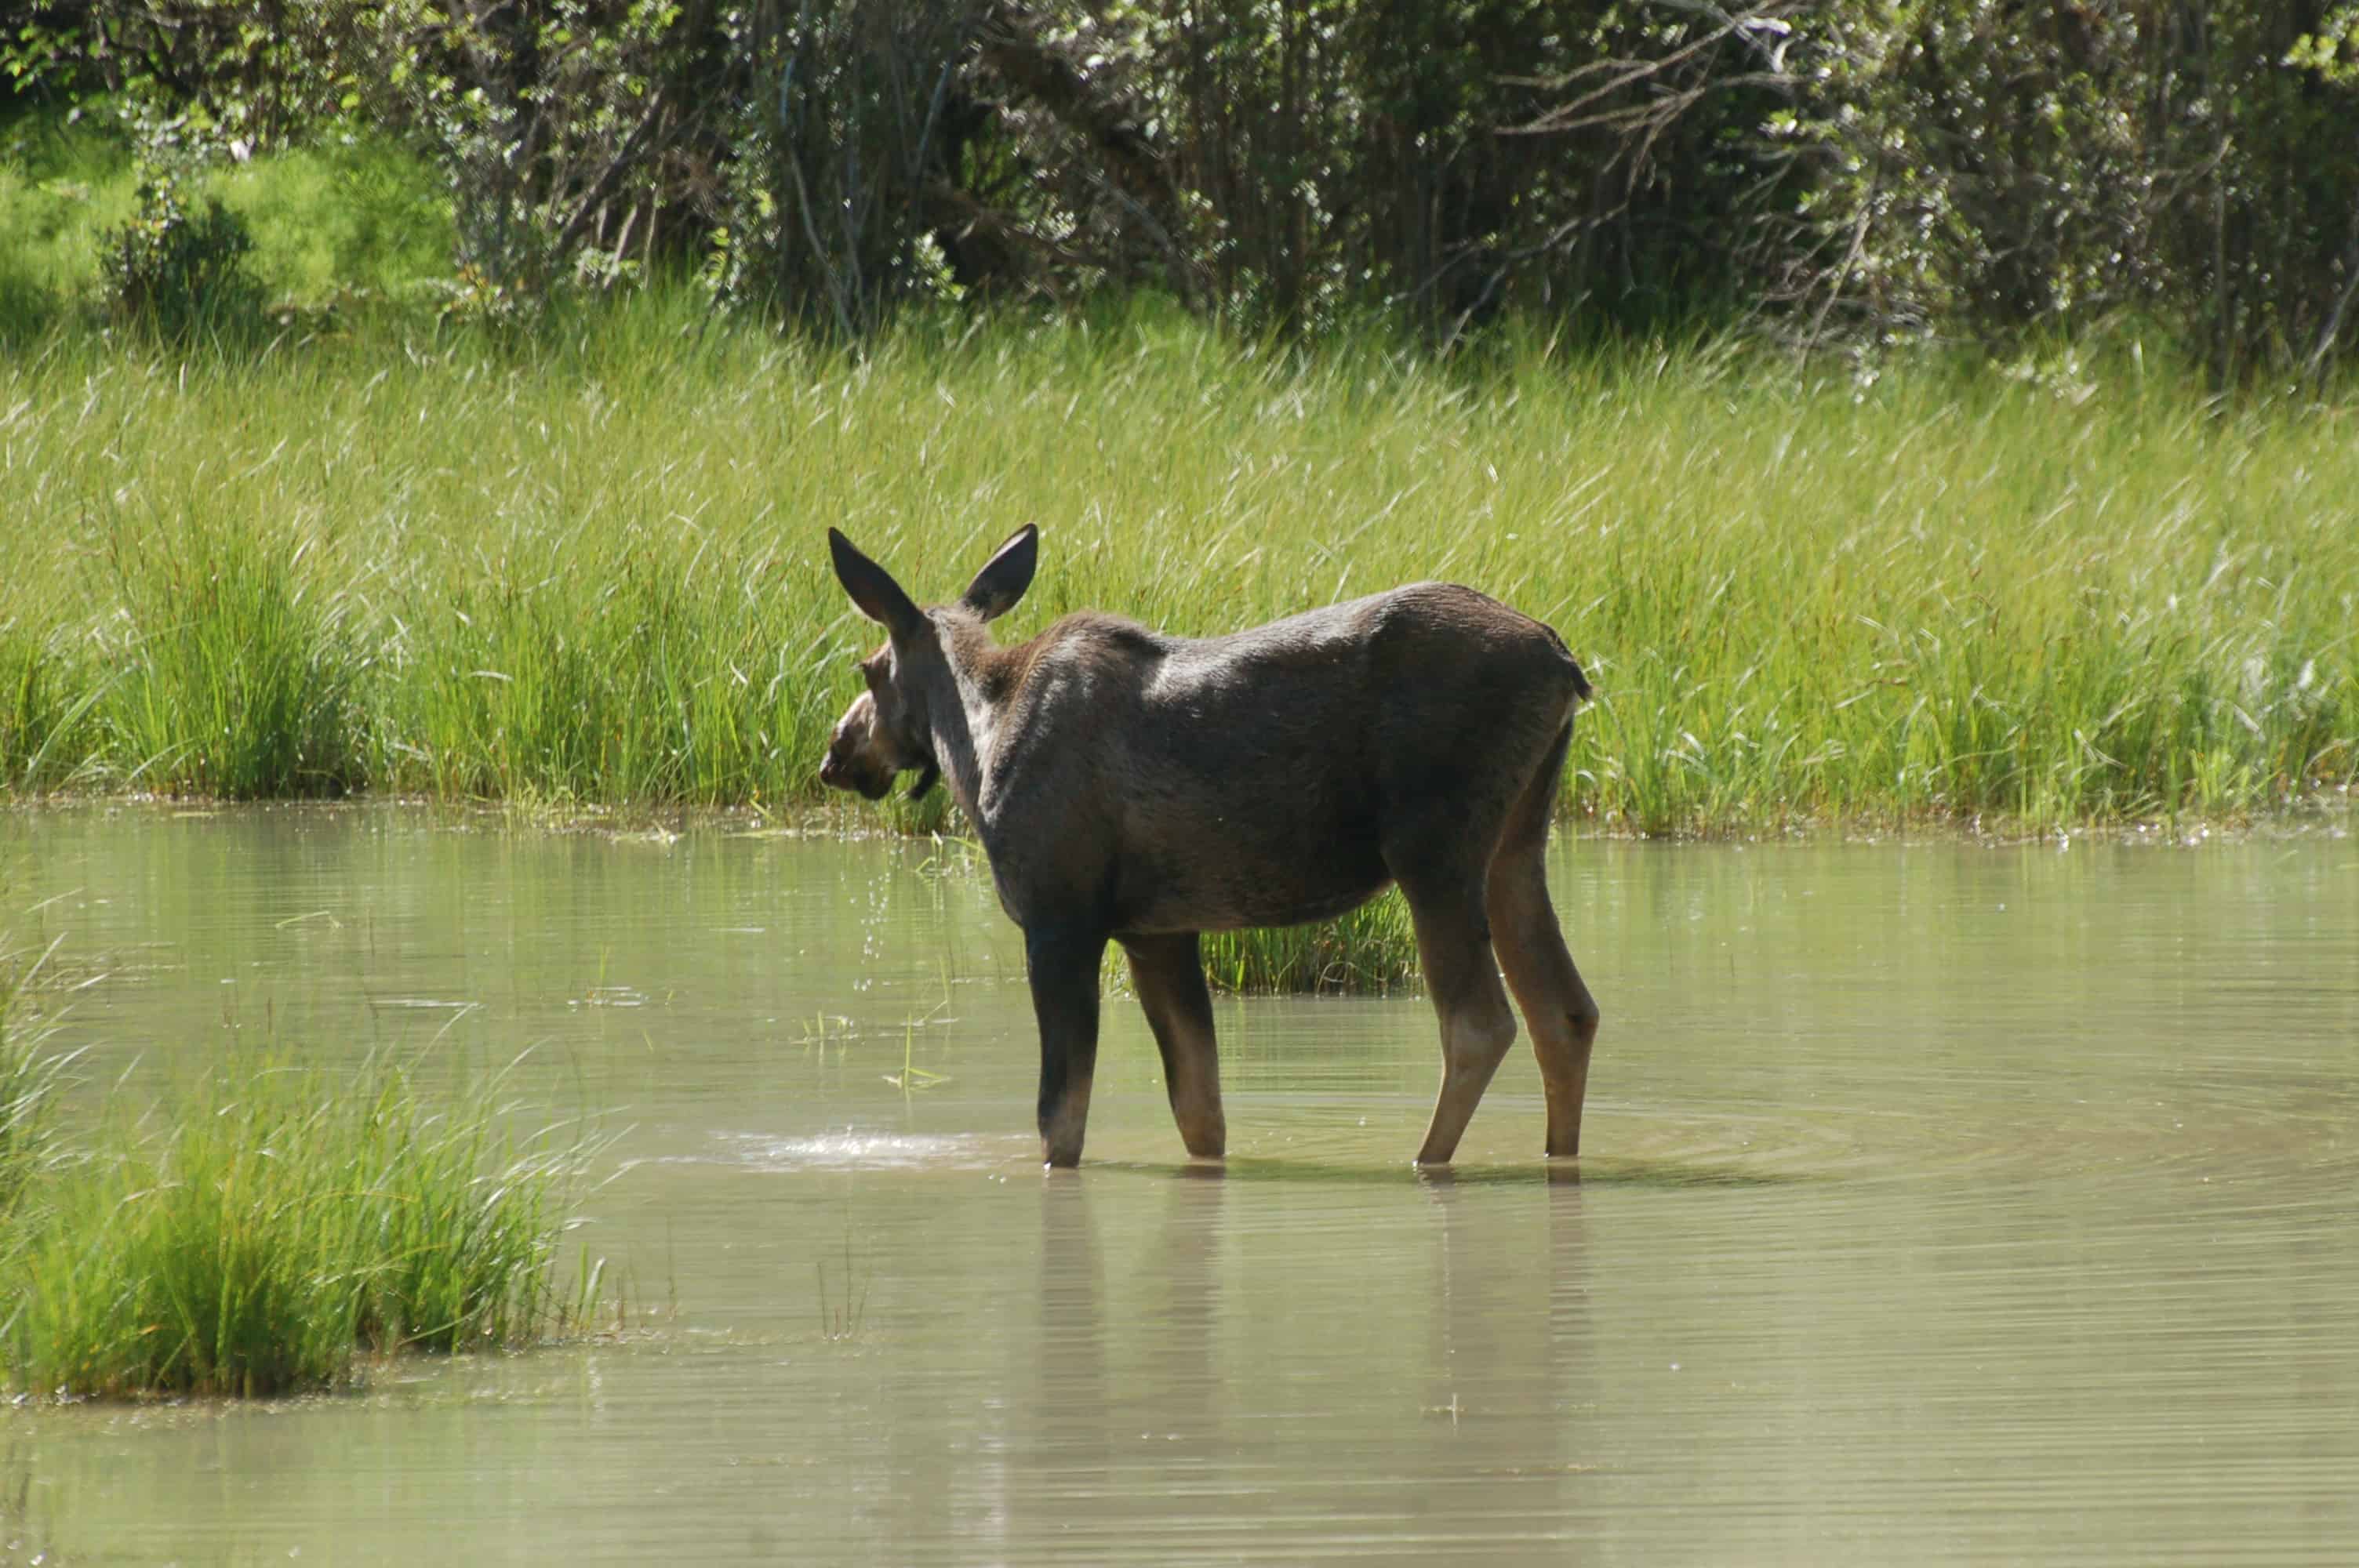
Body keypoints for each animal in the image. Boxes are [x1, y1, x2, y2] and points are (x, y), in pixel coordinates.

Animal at [818, 525, 1600, 1170]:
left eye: (868, 669)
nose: (836, 754)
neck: (975, 744)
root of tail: (1564, 662)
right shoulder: (1159, 932)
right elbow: (1200, 1111)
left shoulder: (1059, 918)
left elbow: (1058, 1119)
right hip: (1516, 843)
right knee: (1565, 1013)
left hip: (1434, 847)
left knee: (1479, 1023)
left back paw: (1426, 1161)